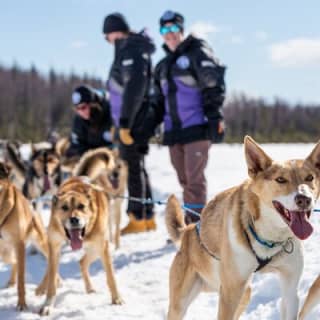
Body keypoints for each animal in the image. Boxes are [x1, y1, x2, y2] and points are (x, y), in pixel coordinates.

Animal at [37, 176, 122, 316]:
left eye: (81, 206)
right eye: (64, 207)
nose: (74, 219)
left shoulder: (103, 247)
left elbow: (111, 277)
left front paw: (117, 299)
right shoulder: (54, 247)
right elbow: (51, 280)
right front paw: (48, 305)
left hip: (96, 249)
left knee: (82, 262)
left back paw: (90, 288)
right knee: (55, 268)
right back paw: (41, 288)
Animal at [165, 136, 320, 320]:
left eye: (309, 177)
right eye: (281, 180)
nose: (304, 199)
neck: (271, 237)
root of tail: (188, 230)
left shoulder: (290, 288)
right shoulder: (230, 292)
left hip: (245, 291)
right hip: (182, 303)